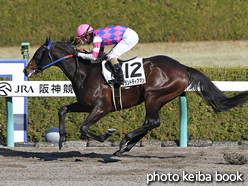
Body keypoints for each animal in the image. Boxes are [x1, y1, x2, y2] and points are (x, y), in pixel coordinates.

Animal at [23, 37, 248, 156]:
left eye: (38, 54)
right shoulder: (84, 104)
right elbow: (62, 110)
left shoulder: (101, 108)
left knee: (152, 122)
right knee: (150, 123)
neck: (85, 72)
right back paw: (125, 146)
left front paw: (106, 135)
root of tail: (184, 67)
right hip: (159, 98)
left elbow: (84, 128)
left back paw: (124, 141)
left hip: (153, 95)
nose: (26, 70)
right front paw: (61, 139)